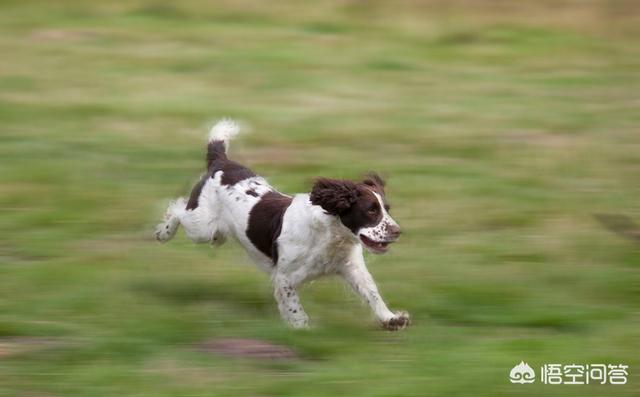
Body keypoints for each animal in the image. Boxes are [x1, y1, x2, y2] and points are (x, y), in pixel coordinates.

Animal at [156, 119, 410, 330]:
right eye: (371, 210)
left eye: (387, 209)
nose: (397, 232)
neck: (329, 236)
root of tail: (221, 162)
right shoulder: (285, 277)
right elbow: (294, 307)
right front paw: (302, 329)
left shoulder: (351, 267)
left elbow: (371, 292)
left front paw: (392, 318)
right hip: (202, 226)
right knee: (177, 208)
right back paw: (163, 232)